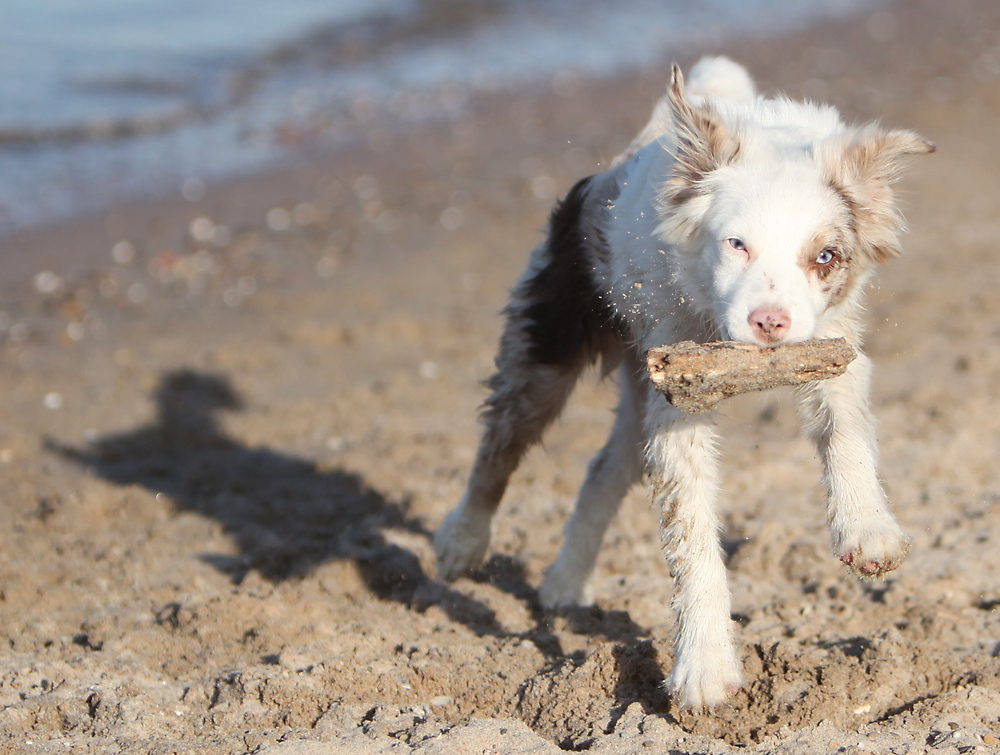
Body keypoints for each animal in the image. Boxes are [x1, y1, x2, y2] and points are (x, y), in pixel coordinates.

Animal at [434, 57, 932, 708]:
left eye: (824, 256)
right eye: (736, 243)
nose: (769, 323)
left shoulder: (830, 341)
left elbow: (846, 425)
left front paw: (868, 529)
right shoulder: (679, 390)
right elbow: (692, 530)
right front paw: (705, 669)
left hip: (638, 387)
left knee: (604, 466)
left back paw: (566, 581)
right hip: (551, 343)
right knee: (500, 444)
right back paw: (461, 541)